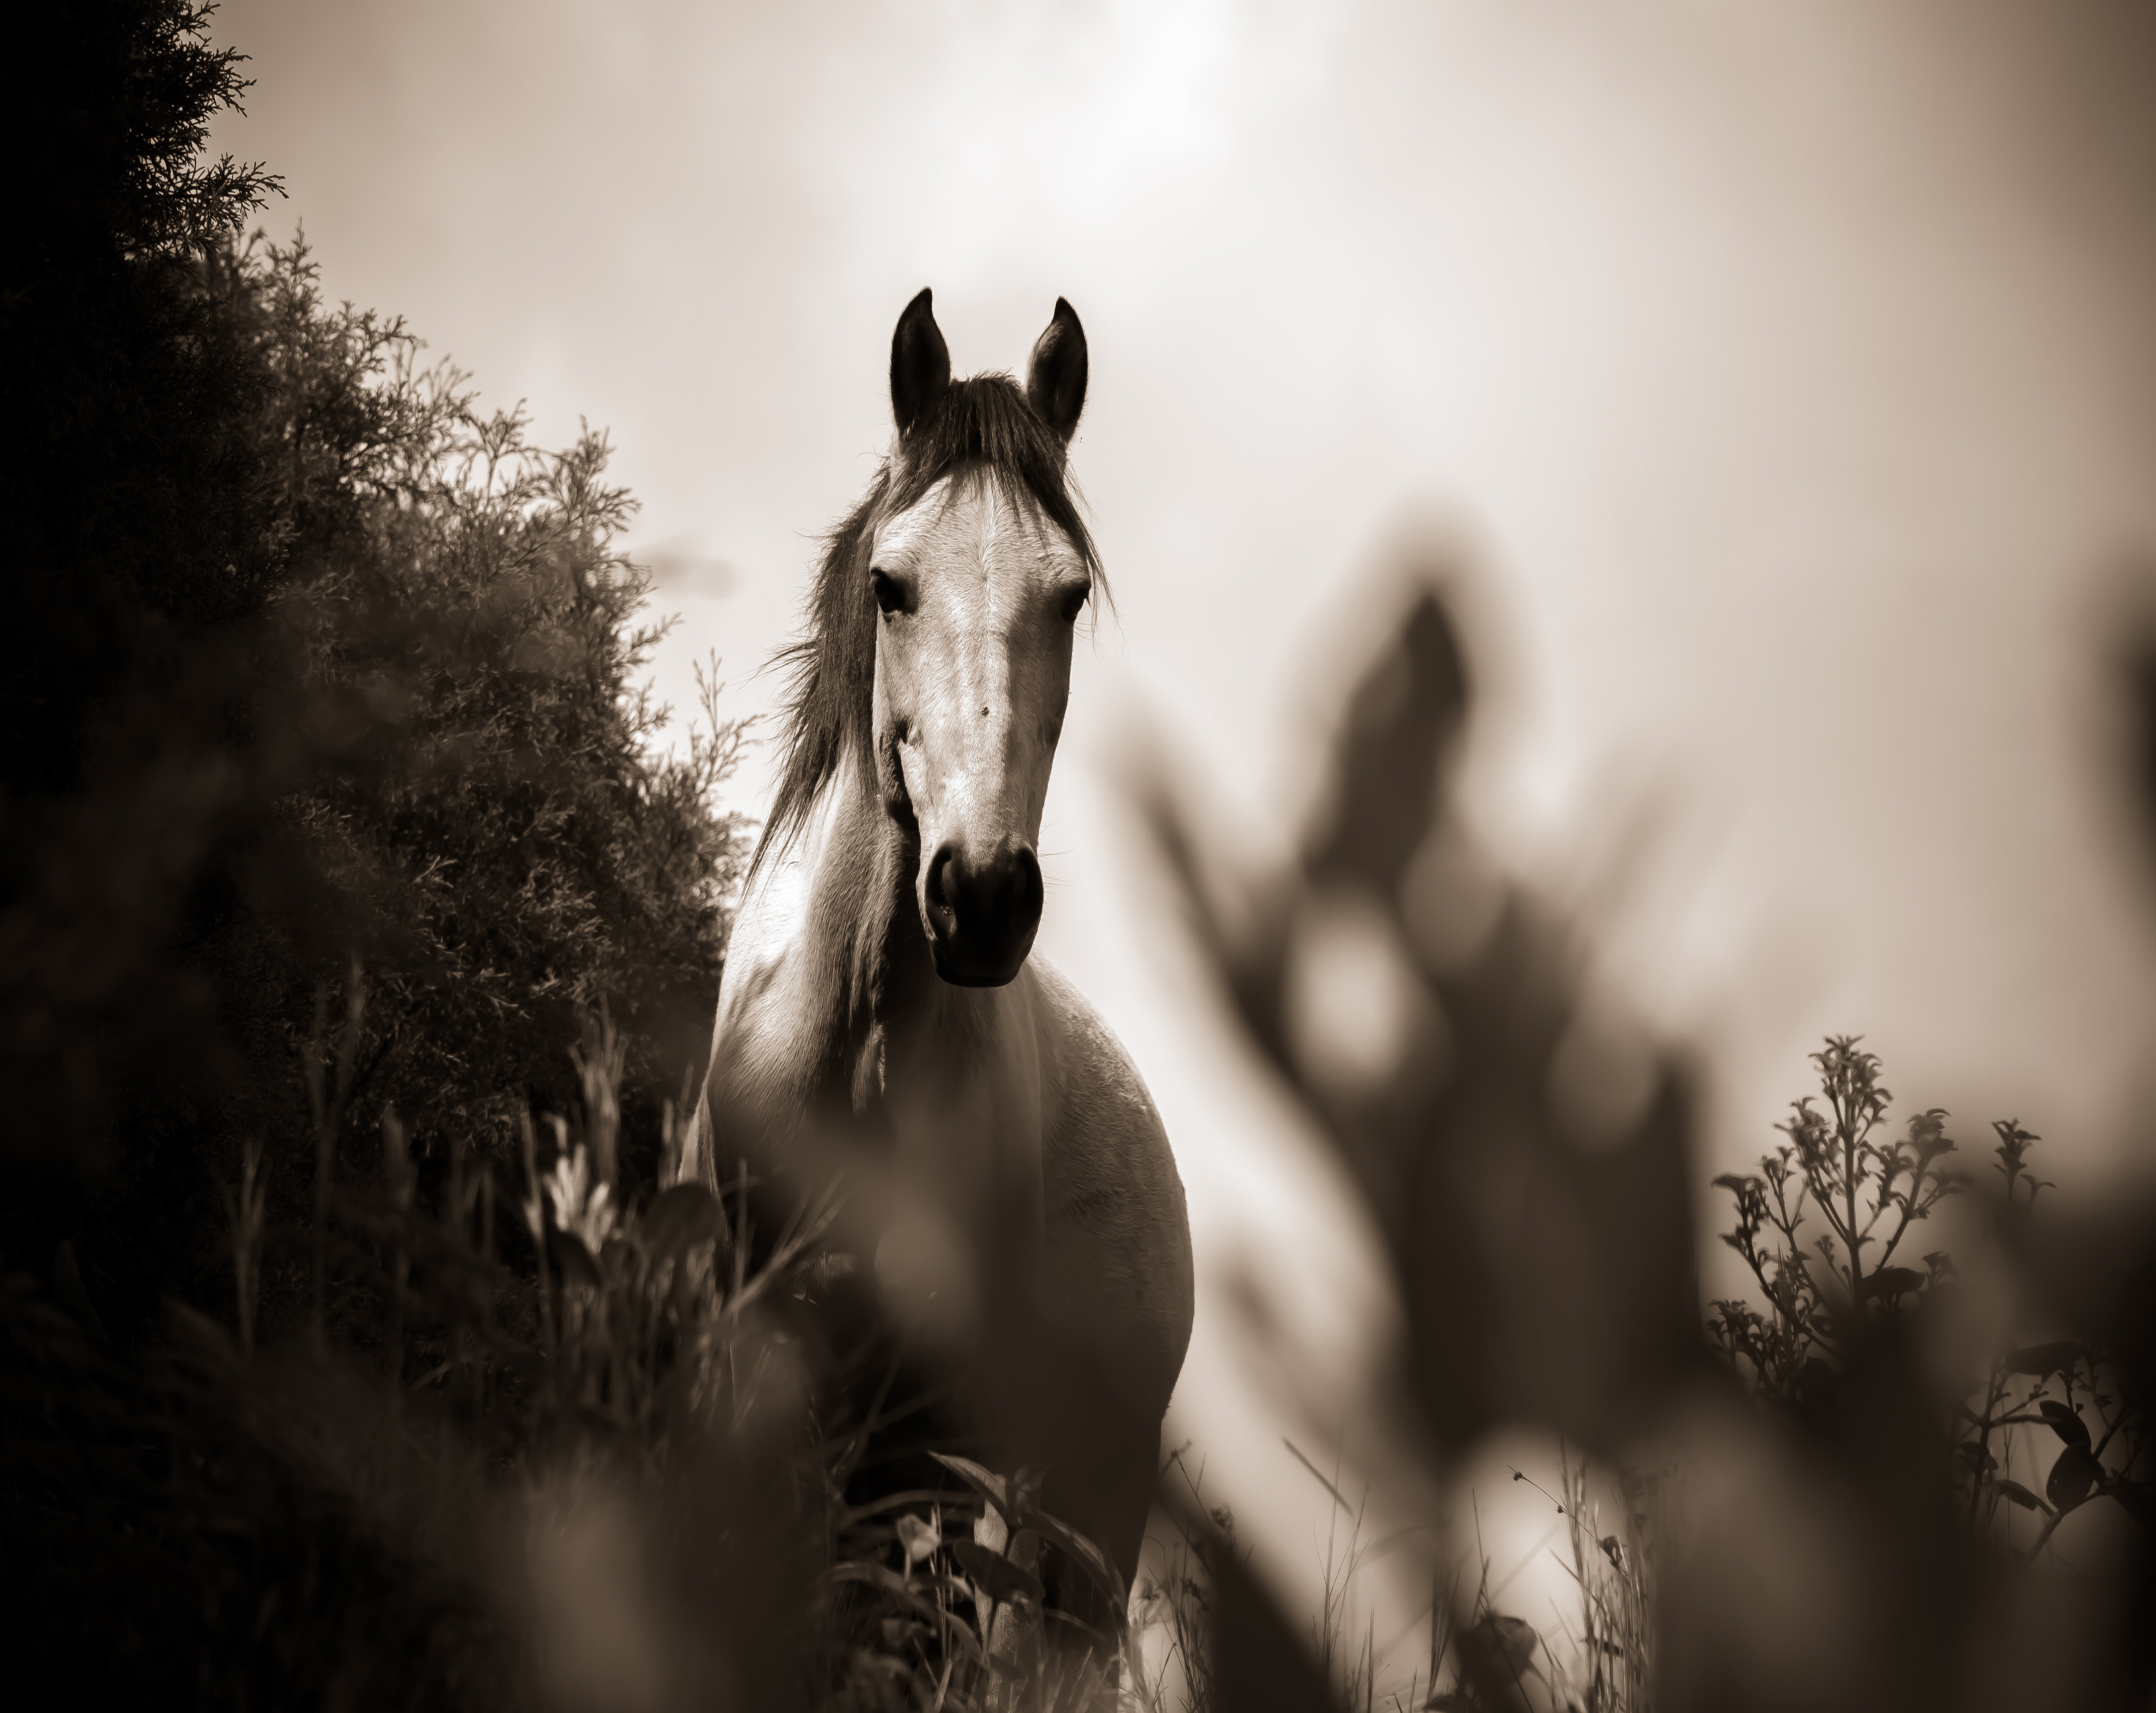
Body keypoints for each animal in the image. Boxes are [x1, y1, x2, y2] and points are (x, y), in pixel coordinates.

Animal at [686, 289, 1194, 1627]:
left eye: (1065, 597)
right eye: (891, 585)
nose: (981, 897)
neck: (854, 1044)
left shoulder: (933, 1436)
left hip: (1075, 1522)